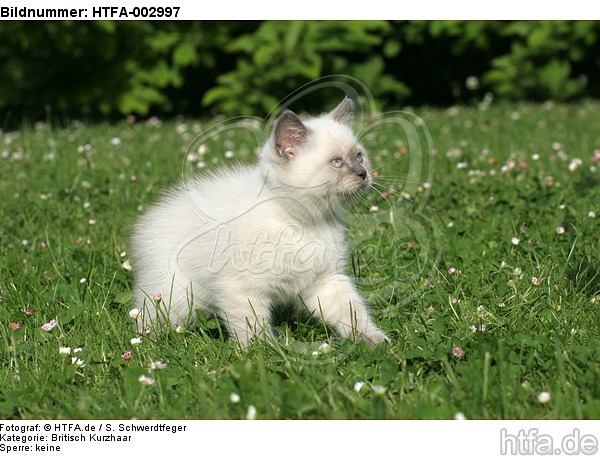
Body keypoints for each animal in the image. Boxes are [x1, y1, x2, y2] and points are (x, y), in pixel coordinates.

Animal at [130, 98, 390, 348]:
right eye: (336, 162)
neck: (304, 223)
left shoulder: (325, 280)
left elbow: (352, 313)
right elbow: (252, 332)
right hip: (177, 297)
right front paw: (266, 355)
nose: (363, 173)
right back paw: (146, 346)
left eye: (359, 156)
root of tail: (153, 215)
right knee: (147, 320)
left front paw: (373, 341)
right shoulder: (241, 288)